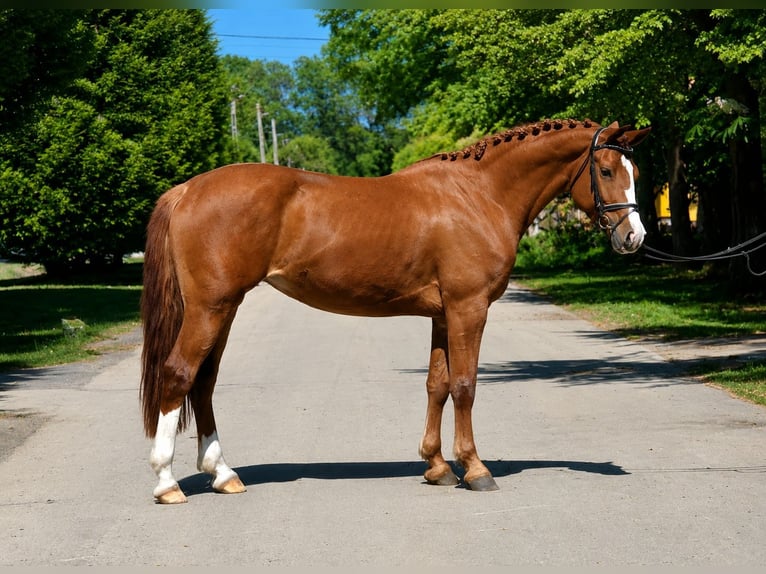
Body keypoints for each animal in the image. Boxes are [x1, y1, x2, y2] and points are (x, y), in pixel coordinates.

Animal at [140, 119, 651, 504]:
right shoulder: (468, 308)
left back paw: (224, 474)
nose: (634, 237)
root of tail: (187, 190)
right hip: (210, 307)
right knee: (179, 374)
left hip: (223, 310)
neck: (479, 194)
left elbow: (437, 385)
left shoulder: (443, 314)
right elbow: (465, 386)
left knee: (204, 383)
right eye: (606, 170)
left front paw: (437, 466)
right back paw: (166, 483)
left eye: (636, 172)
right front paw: (475, 469)